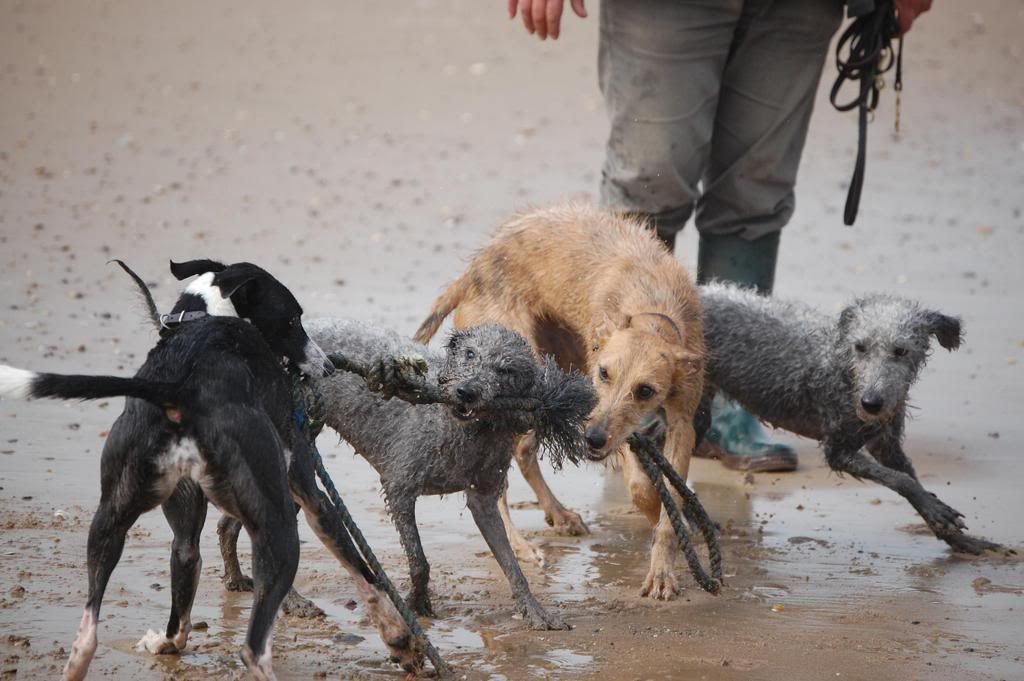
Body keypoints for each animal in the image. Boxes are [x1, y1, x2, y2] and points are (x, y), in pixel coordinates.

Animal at [0, 260, 419, 679]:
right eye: (292, 319)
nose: (329, 368)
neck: (204, 316)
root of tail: (180, 392)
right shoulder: (311, 493)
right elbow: (362, 570)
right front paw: (398, 637)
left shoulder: (184, 533)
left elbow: (180, 611)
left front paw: (162, 643)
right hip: (279, 526)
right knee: (253, 648)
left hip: (109, 519)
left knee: (88, 635)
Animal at [219, 317, 598, 626]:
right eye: (470, 354)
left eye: (505, 371)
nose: (466, 392)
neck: (460, 428)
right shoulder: (399, 487)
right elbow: (419, 561)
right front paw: (418, 603)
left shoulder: (483, 500)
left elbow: (511, 566)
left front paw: (535, 612)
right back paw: (292, 602)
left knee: (230, 524)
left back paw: (237, 579)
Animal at [415, 204, 704, 598]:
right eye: (603, 373)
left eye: (646, 390)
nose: (591, 440)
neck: (652, 307)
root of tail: (472, 272)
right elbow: (643, 489)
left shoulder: (681, 423)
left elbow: (664, 500)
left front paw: (663, 566)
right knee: (497, 480)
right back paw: (520, 546)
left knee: (523, 452)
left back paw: (560, 514)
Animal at [700, 280, 1003, 552]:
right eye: (860, 346)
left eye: (901, 350)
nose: (871, 404)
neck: (844, 370)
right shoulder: (838, 451)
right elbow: (902, 481)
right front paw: (939, 513)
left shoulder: (886, 445)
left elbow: (911, 479)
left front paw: (956, 536)